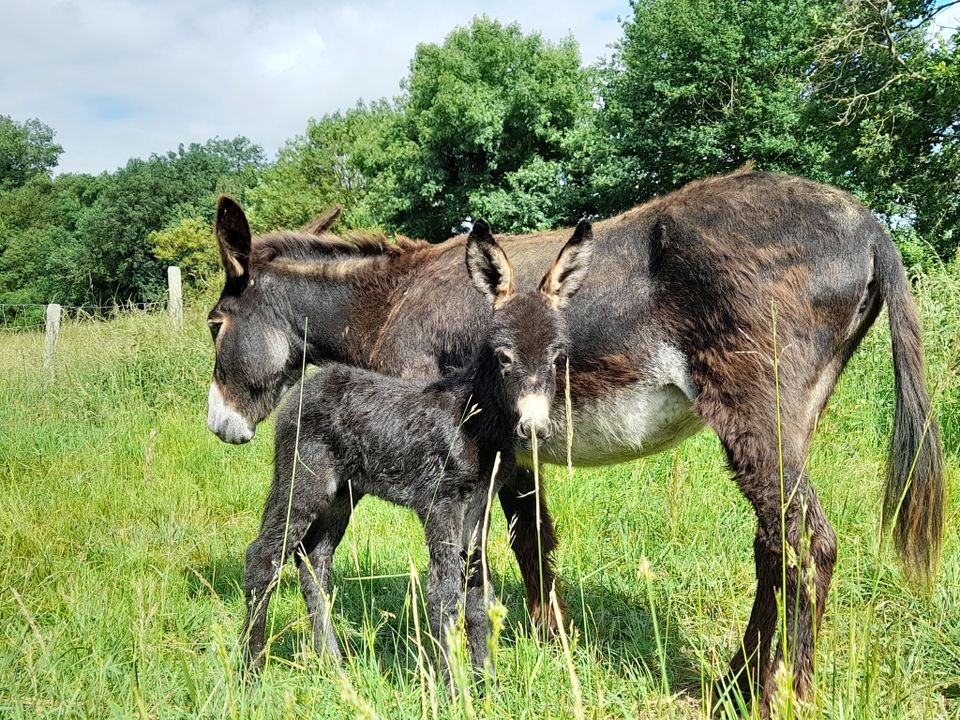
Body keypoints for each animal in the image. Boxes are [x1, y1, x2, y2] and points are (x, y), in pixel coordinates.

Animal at [240, 219, 592, 680]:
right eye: (504, 357)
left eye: (557, 358)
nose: (534, 428)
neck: (473, 418)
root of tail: (309, 384)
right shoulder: (440, 504)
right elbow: (443, 593)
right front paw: (453, 685)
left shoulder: (477, 509)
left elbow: (478, 594)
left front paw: (486, 681)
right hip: (304, 481)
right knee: (263, 556)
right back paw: (250, 670)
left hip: (342, 494)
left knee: (313, 561)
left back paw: (333, 662)